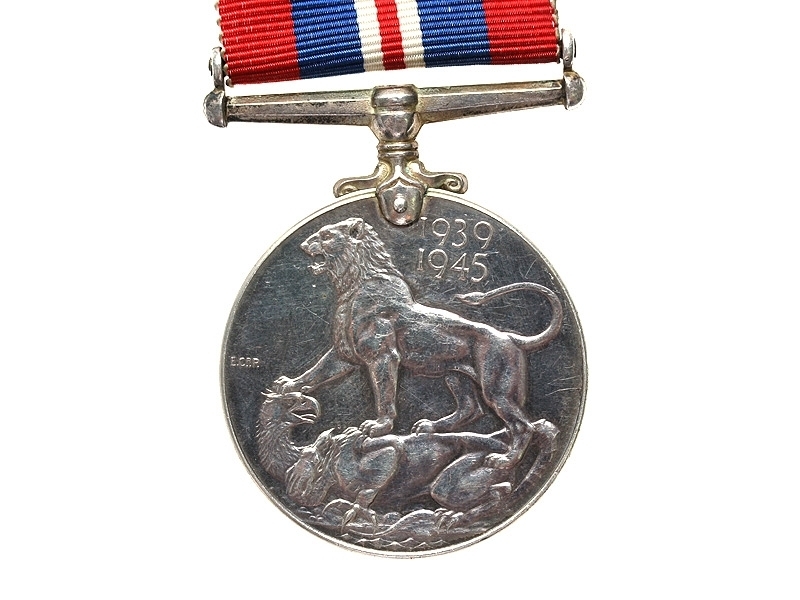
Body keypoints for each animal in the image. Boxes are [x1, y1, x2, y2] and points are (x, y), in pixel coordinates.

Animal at [273, 217, 563, 469]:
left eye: (326, 235)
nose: (303, 245)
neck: (351, 286)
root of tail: (510, 337)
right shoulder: (344, 355)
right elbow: (316, 372)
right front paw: (289, 385)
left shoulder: (382, 356)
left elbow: (384, 394)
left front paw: (378, 426)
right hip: (456, 376)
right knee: (471, 409)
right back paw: (431, 427)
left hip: (496, 388)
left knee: (523, 425)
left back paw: (505, 460)